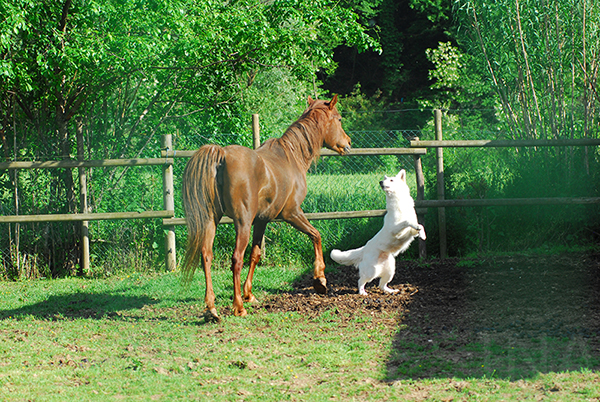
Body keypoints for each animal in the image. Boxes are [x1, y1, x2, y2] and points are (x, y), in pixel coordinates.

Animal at [183, 94, 352, 320]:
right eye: (339, 119)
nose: (348, 143)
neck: (292, 157)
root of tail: (222, 155)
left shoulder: (262, 221)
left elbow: (255, 255)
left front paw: (249, 294)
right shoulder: (292, 213)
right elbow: (316, 235)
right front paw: (320, 280)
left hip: (212, 220)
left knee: (206, 255)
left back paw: (212, 308)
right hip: (242, 223)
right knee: (236, 259)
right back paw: (238, 307)